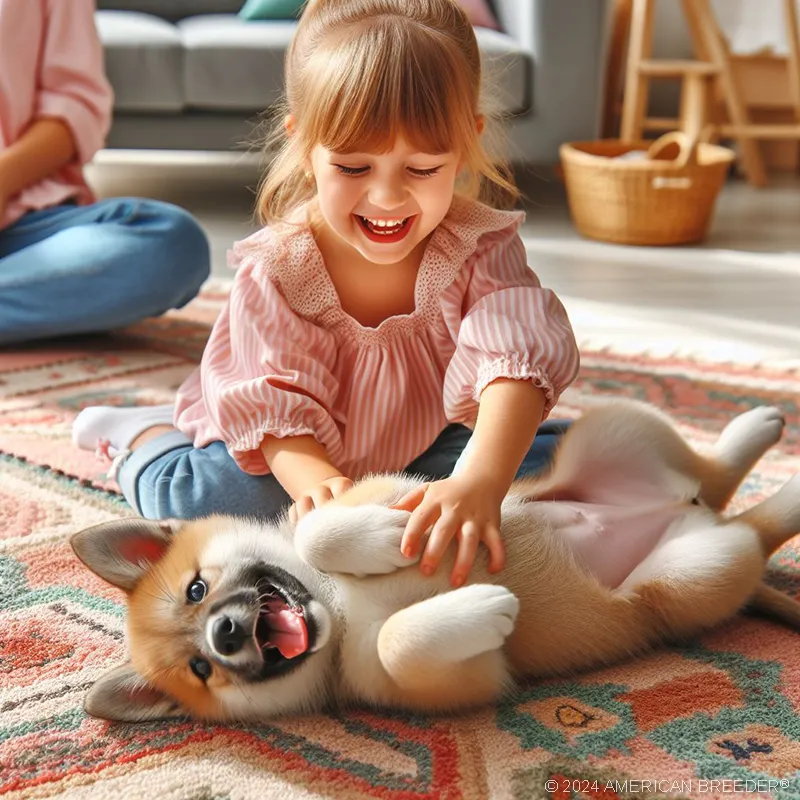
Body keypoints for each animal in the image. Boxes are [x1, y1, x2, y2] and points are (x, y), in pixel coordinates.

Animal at [72, 404, 796, 720]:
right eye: (201, 670)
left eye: (196, 590)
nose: (223, 634)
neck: (339, 608)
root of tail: (683, 509)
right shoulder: (455, 681)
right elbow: (403, 643)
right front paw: (485, 606)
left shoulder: (376, 487)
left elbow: (320, 532)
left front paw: (387, 538)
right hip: (690, 573)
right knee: (748, 527)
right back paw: (783, 489)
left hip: (609, 430)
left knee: (714, 476)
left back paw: (756, 429)